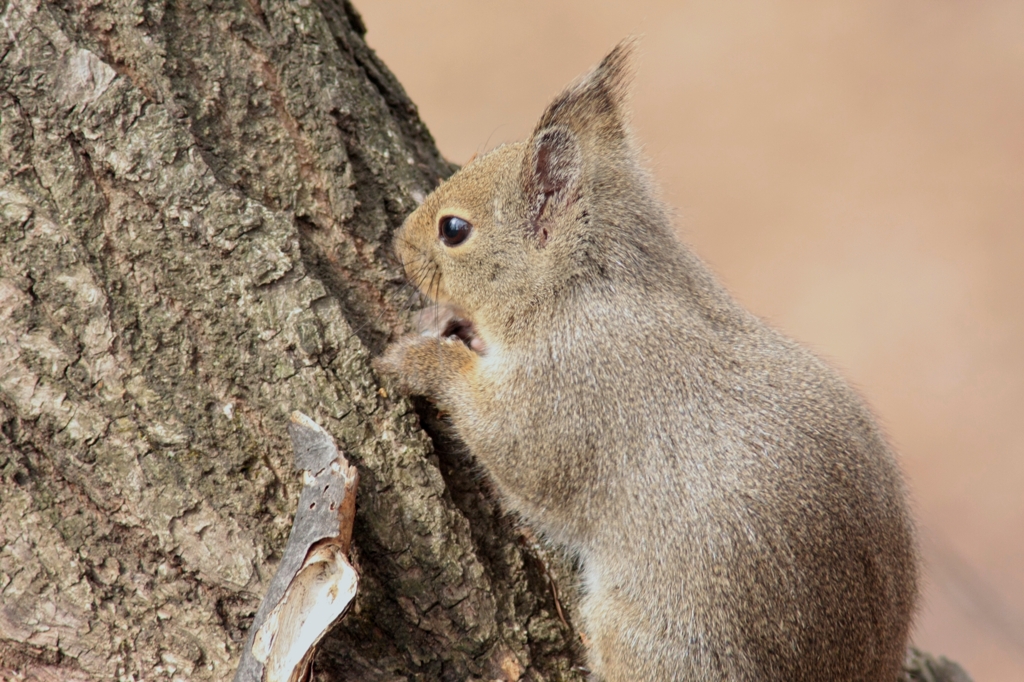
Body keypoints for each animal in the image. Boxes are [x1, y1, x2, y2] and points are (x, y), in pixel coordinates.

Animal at [376, 41, 921, 679]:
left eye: (454, 229)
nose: (396, 243)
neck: (581, 286)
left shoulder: (567, 391)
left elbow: (510, 448)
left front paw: (419, 358)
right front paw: (450, 325)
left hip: (653, 642)